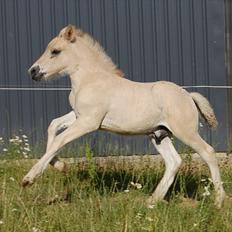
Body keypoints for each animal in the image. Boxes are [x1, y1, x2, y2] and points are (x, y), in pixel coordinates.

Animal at [24, 24, 225, 208]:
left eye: (55, 51)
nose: (33, 71)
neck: (91, 79)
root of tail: (188, 96)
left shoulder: (89, 121)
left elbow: (60, 139)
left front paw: (29, 178)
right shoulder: (78, 115)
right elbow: (53, 126)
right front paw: (59, 165)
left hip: (185, 132)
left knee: (208, 152)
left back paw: (219, 201)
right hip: (159, 135)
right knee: (174, 162)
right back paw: (152, 200)